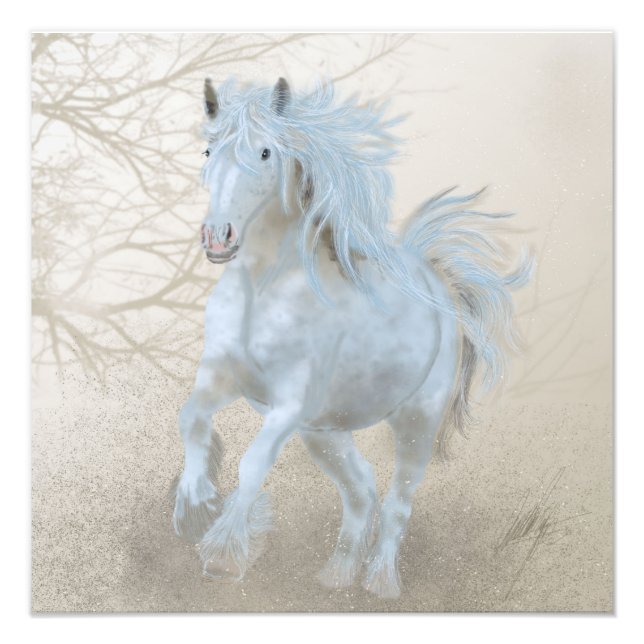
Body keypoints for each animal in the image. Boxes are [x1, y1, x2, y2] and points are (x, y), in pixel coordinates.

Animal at [171, 77, 532, 599]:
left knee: (398, 501)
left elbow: (252, 464)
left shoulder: (288, 405)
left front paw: (223, 555)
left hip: (415, 423)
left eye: (265, 152)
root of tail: (436, 280)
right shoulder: (222, 378)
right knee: (360, 490)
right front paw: (195, 505)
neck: (261, 291)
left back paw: (380, 583)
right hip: (325, 433)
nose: (218, 237)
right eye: (207, 150)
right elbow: (190, 420)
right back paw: (338, 576)